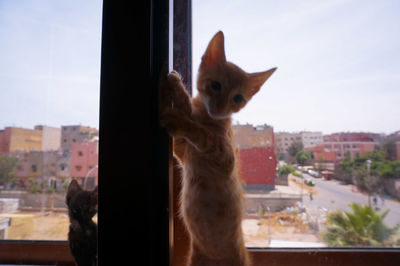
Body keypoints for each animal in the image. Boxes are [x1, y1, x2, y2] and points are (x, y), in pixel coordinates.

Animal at [159, 31, 276, 266]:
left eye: (237, 98)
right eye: (215, 85)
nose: (221, 107)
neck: (208, 118)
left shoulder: (225, 158)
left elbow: (200, 132)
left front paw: (179, 117)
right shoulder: (182, 152)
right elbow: (188, 116)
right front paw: (176, 86)